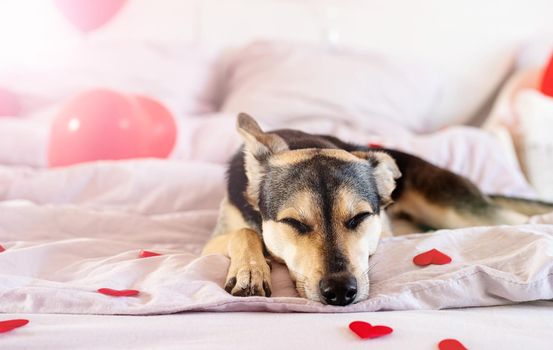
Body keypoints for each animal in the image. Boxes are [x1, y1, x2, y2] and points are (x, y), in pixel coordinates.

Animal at [203, 113, 552, 304]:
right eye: (294, 223)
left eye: (359, 217)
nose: (340, 292)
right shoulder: (210, 244)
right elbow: (245, 231)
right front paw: (250, 269)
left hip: (454, 207)